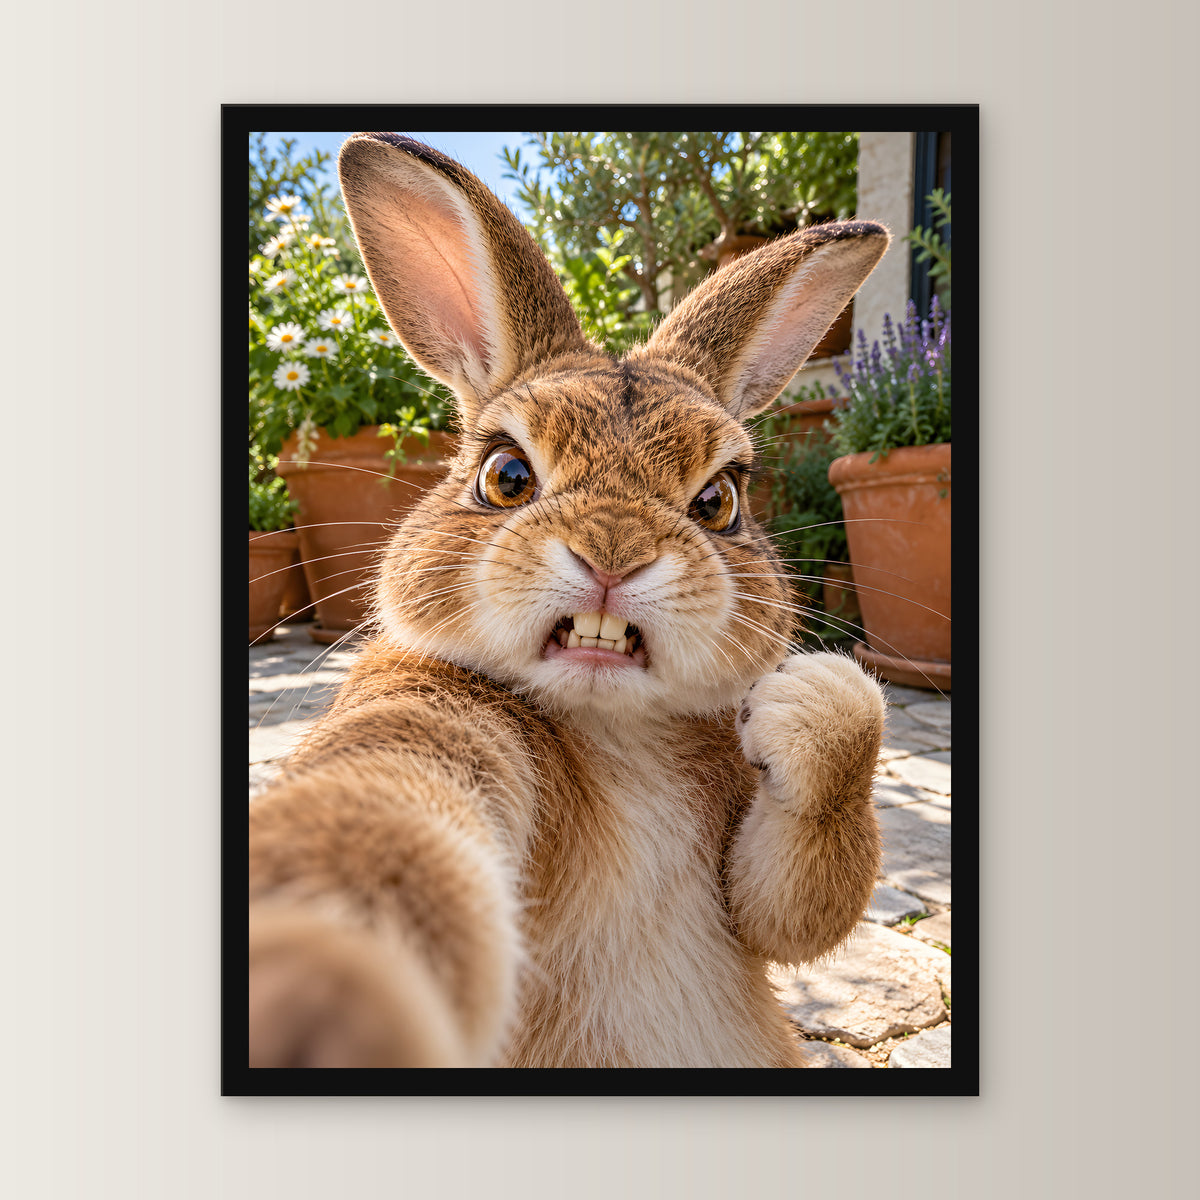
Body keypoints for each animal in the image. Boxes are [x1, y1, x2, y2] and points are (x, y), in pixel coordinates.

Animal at [248, 132, 890, 1069]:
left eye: (720, 501)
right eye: (505, 476)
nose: (614, 554)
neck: (612, 727)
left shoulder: (758, 890)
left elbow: (799, 906)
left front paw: (810, 700)